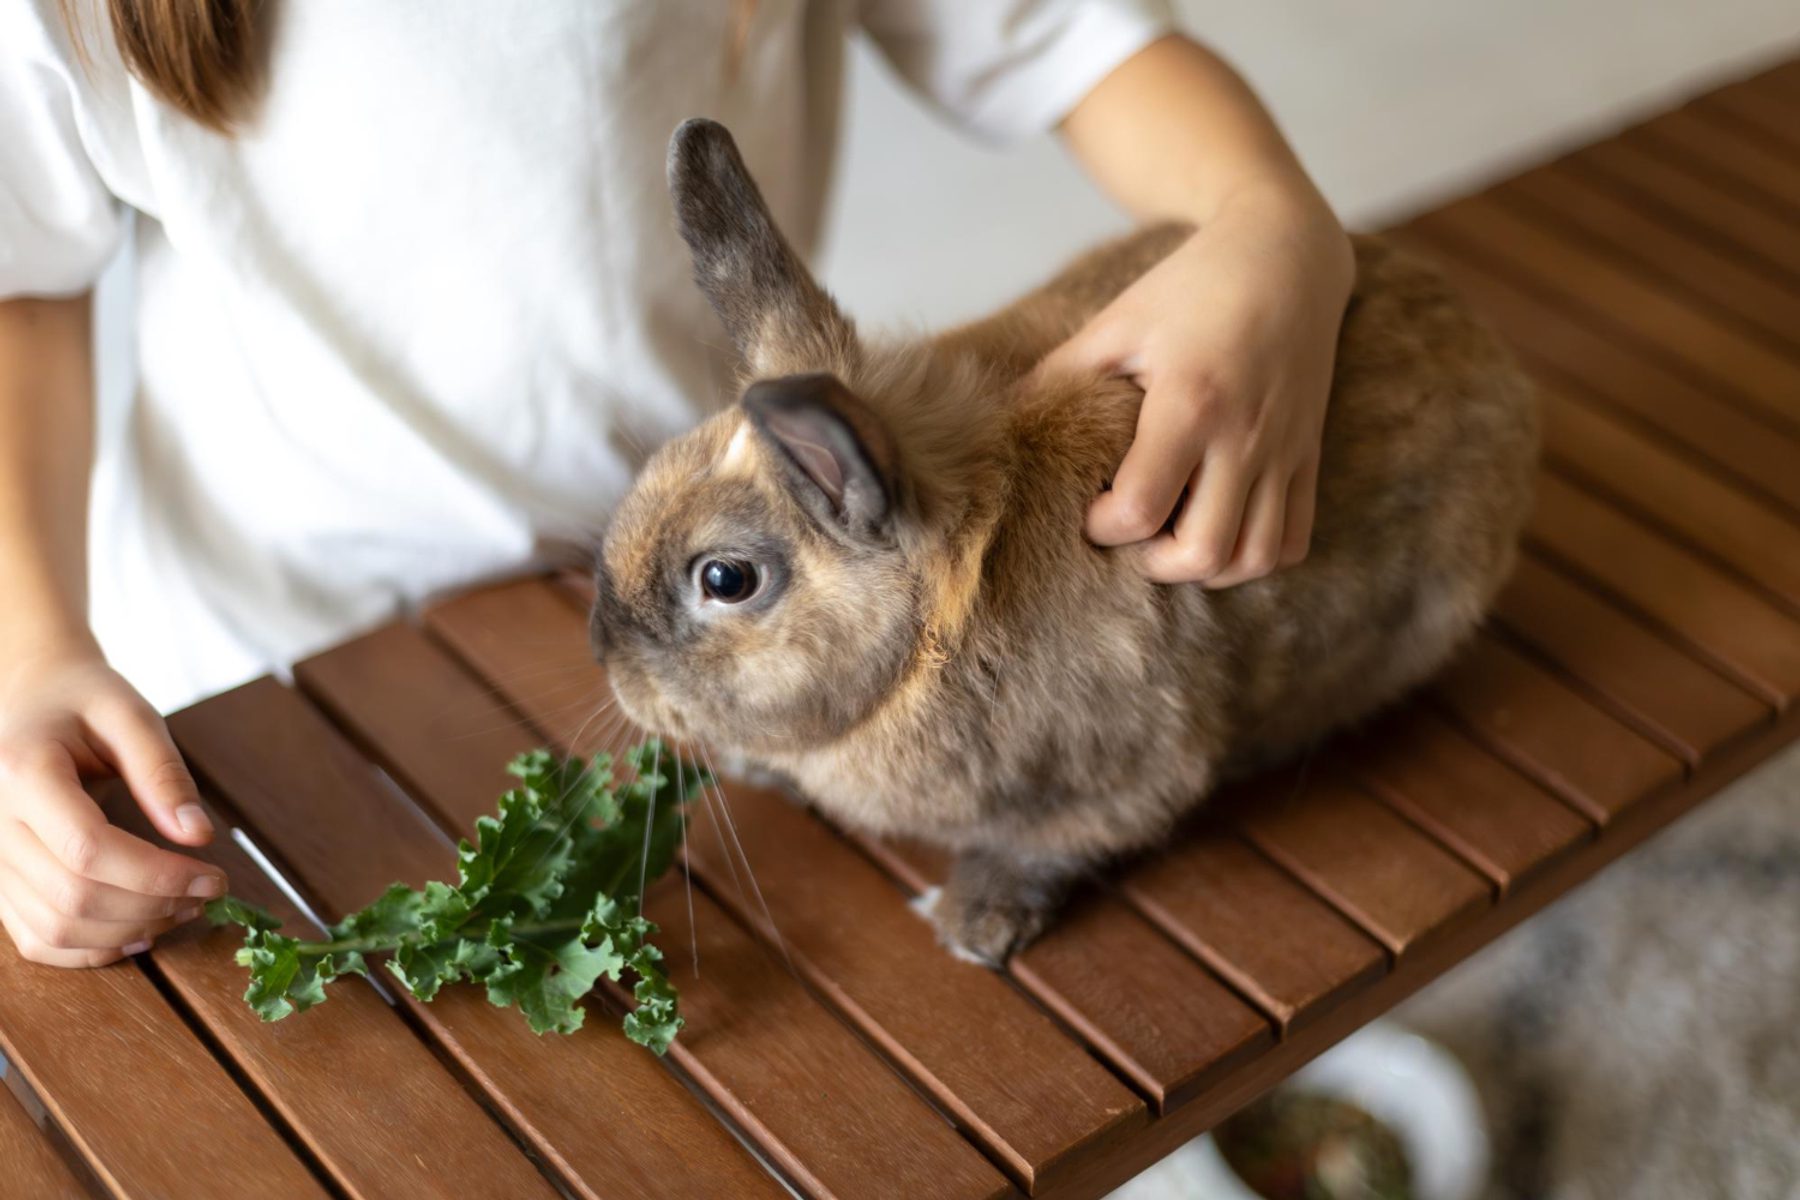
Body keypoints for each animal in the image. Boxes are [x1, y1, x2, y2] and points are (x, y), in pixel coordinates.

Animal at [589, 118, 1538, 965]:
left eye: (725, 578)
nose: (607, 658)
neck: (936, 635)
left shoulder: (1127, 775)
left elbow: (1057, 842)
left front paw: (973, 925)